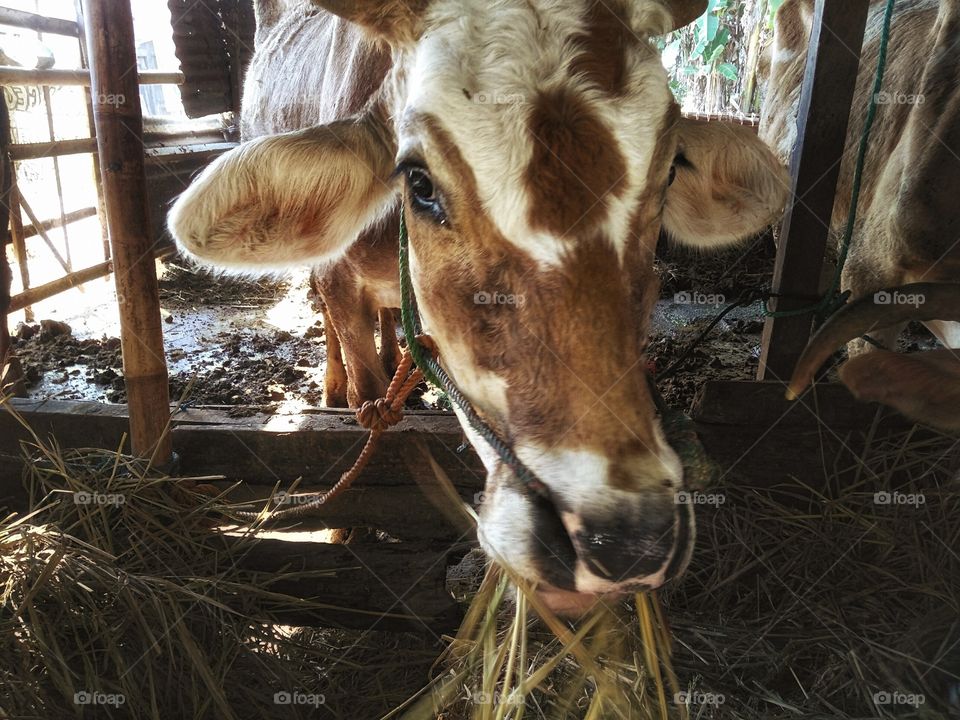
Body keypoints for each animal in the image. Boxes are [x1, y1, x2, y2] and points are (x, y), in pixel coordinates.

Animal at [168, 0, 788, 615]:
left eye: (669, 174)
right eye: (419, 182)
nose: (627, 540)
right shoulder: (338, 279)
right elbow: (364, 392)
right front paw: (349, 525)